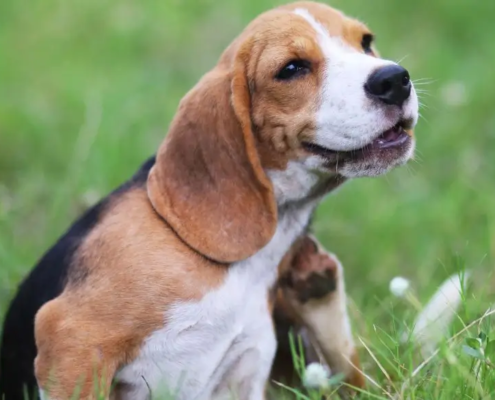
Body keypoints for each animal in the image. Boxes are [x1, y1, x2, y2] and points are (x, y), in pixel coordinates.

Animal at [0, 1, 418, 398]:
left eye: (365, 42)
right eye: (292, 68)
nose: (394, 79)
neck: (252, 264)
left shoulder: (247, 371)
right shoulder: (70, 335)